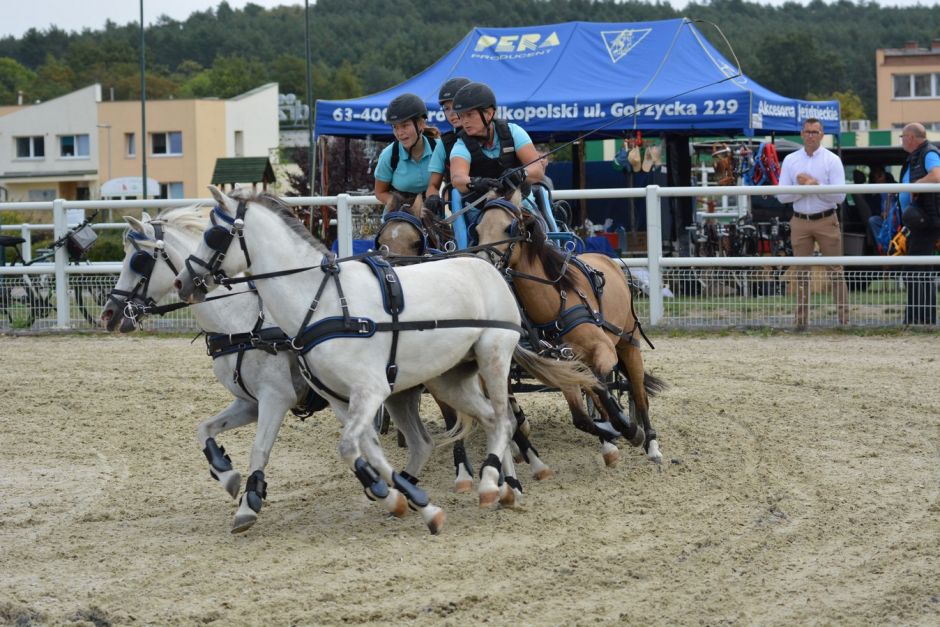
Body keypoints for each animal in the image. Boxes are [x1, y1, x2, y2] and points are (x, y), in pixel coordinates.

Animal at [99, 206, 330, 533]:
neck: (240, 322)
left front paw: (248, 504)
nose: (108, 314)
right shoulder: (249, 403)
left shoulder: (277, 398)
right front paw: (226, 473)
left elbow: (259, 450)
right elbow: (204, 429)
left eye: (138, 259)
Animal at [374, 193, 553, 487]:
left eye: (416, 242)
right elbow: (452, 420)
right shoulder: (437, 379)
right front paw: (463, 470)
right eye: (380, 242)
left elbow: (499, 413)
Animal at [474, 197, 667, 467]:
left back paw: (650, 443)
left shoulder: (604, 349)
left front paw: (628, 428)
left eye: (507, 228)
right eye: (478, 230)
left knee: (638, 394)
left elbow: (602, 386)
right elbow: (581, 417)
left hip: (628, 344)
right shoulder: (562, 366)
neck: (556, 303)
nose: (483, 265)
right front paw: (614, 431)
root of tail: (608, 259)